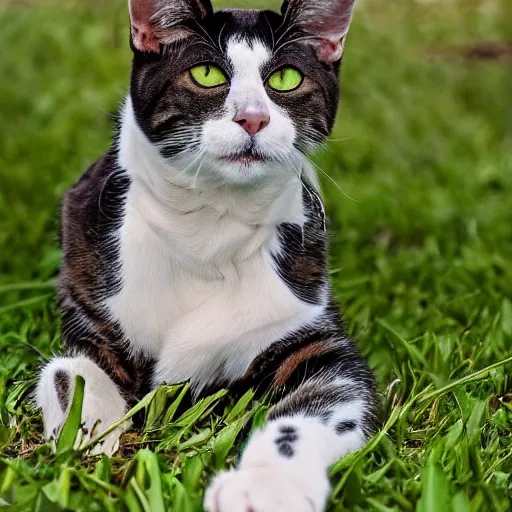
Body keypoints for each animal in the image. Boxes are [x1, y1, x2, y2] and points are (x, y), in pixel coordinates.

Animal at [37, 0, 380, 510]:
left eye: (285, 78)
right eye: (206, 73)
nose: (253, 118)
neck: (208, 230)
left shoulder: (311, 333)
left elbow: (322, 400)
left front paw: (266, 487)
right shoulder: (90, 299)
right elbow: (68, 368)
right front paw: (91, 435)